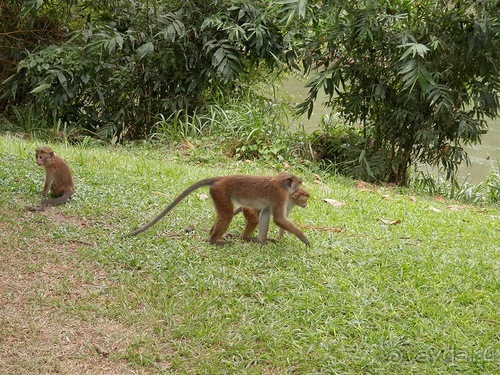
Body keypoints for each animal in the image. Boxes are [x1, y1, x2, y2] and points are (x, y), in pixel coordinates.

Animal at [124, 173, 308, 247]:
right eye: (298, 183)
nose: (301, 184)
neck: (280, 183)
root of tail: (221, 178)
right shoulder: (280, 196)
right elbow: (278, 219)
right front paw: (304, 239)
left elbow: (266, 215)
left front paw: (262, 242)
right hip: (220, 192)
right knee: (227, 215)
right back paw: (214, 240)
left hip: (217, 193)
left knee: (223, 215)